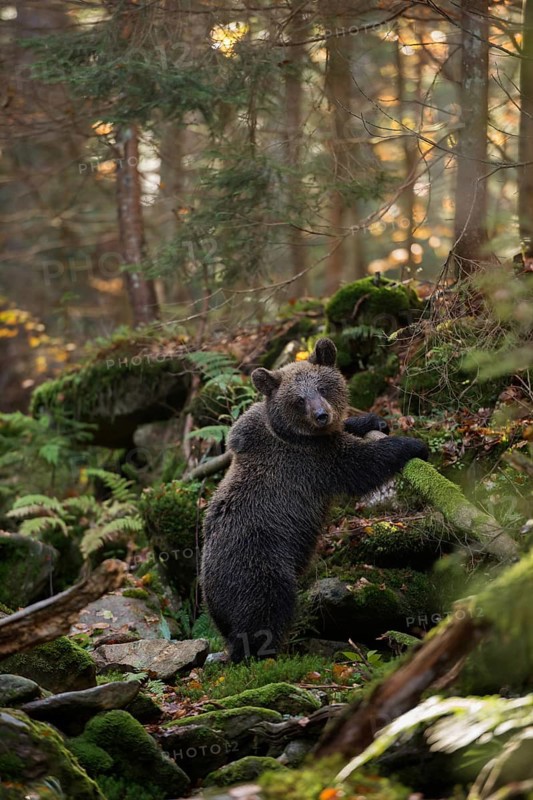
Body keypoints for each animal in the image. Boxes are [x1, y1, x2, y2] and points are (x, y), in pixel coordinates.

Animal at [200, 338, 428, 662]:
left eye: (322, 387)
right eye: (298, 399)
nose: (322, 415)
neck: (292, 433)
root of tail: (210, 600)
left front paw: (374, 421)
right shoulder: (309, 462)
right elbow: (359, 464)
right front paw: (413, 444)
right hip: (258, 563)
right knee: (266, 607)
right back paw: (264, 653)